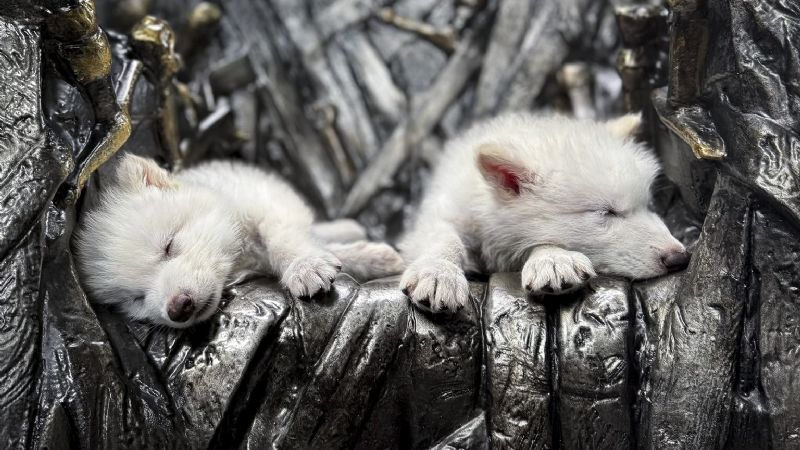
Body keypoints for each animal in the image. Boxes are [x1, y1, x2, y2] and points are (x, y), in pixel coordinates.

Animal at [75, 154, 404, 328]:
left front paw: (305, 266)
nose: (178, 308)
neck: (238, 257)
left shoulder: (268, 204)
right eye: (136, 299)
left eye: (169, 246)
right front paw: (367, 258)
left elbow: (284, 239)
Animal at [399, 112, 689, 312]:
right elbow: (445, 238)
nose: (680, 258)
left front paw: (553, 259)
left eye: (647, 206)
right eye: (606, 212)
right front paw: (438, 273)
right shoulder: (442, 212)